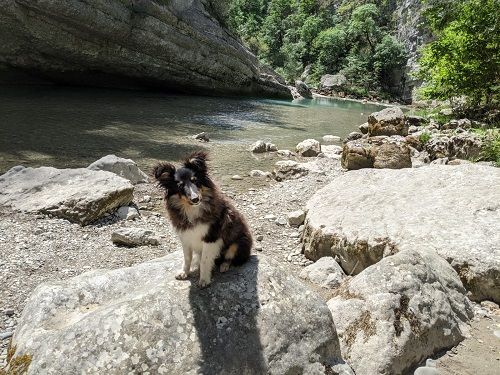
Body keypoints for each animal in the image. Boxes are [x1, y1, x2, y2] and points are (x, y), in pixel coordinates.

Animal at [152, 152, 252, 288]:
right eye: (180, 186)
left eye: (195, 181)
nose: (195, 199)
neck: (192, 209)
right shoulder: (185, 236)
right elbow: (187, 257)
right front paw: (184, 272)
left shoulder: (211, 237)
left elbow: (205, 260)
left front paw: (204, 280)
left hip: (238, 242)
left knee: (230, 257)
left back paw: (224, 266)